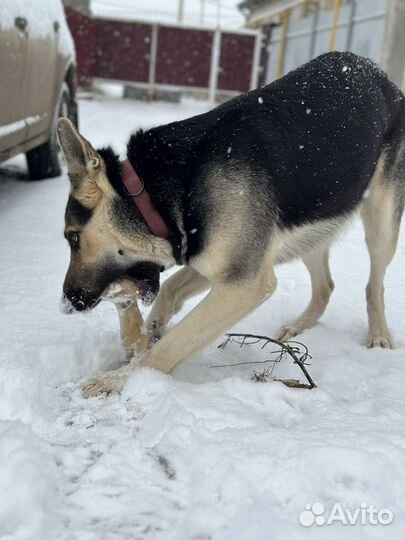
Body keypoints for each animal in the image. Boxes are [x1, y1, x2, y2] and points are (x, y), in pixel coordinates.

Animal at [57, 51, 404, 396]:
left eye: (73, 238)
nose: (67, 304)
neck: (154, 194)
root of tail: (380, 75)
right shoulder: (208, 257)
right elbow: (169, 290)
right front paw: (144, 335)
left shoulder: (244, 284)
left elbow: (173, 344)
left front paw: (118, 379)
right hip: (312, 227)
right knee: (325, 287)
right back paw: (298, 326)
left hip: (380, 225)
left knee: (374, 284)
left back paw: (379, 335)